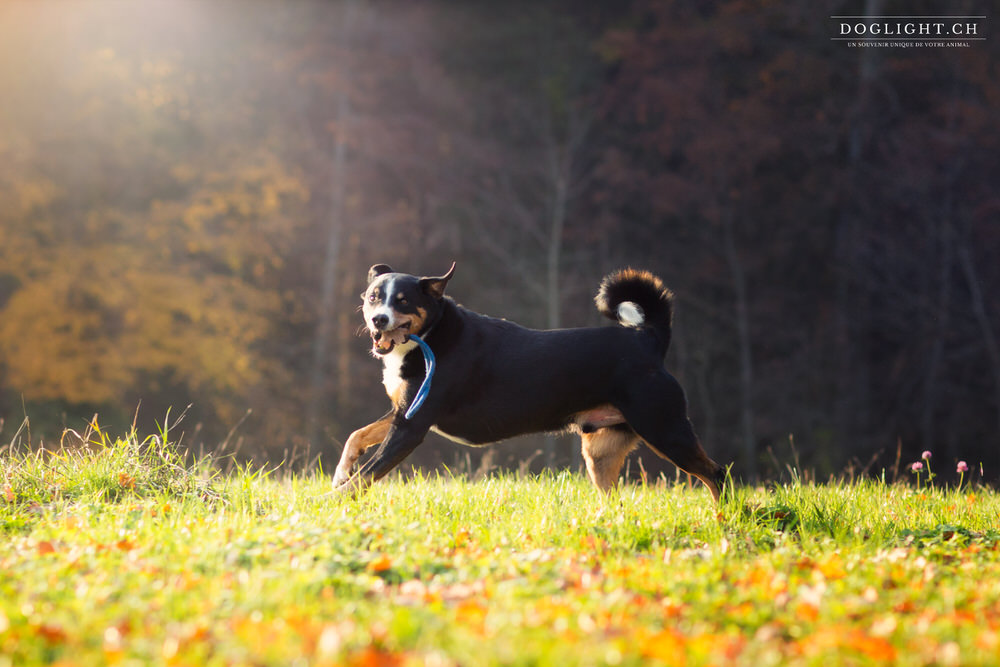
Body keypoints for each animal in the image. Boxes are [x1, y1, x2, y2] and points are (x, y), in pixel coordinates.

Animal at [334, 264, 728, 504]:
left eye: (403, 302)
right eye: (373, 297)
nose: (378, 320)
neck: (430, 335)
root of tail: (649, 339)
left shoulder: (412, 425)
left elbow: (367, 475)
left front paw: (333, 501)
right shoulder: (402, 412)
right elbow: (356, 437)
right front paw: (340, 473)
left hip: (664, 428)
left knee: (715, 473)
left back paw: (724, 518)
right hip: (600, 452)